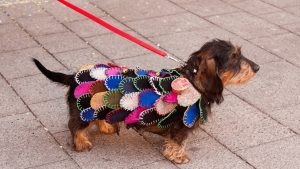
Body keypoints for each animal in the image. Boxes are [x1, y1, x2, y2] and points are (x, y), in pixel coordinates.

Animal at [32, 39, 258, 164]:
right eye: (235, 57)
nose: (257, 67)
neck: (192, 81)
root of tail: (73, 76)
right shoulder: (180, 127)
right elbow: (177, 142)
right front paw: (178, 156)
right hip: (83, 111)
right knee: (74, 126)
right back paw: (81, 143)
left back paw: (106, 126)